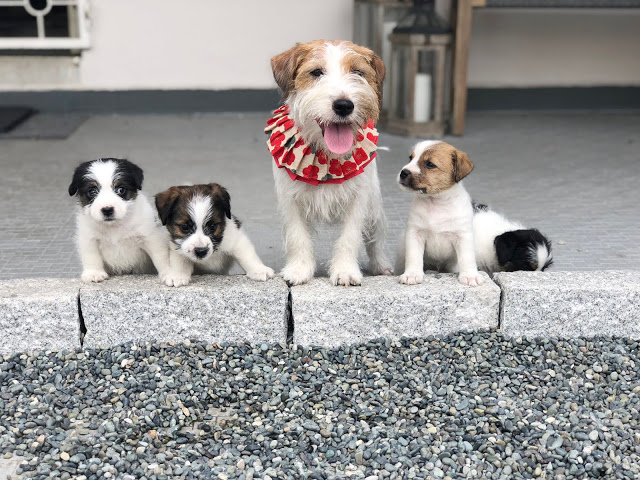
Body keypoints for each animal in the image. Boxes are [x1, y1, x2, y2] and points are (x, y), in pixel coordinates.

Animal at [268, 39, 392, 286]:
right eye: (316, 72)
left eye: (358, 72)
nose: (344, 105)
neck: (327, 154)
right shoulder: (290, 200)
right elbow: (298, 237)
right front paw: (299, 270)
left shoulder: (358, 201)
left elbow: (349, 238)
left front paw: (345, 271)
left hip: (375, 210)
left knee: (375, 239)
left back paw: (380, 265)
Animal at [396, 141, 553, 286]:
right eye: (410, 158)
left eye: (429, 164)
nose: (403, 172)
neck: (436, 202)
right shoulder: (415, 233)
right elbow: (414, 256)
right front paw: (412, 274)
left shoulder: (462, 238)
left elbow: (466, 258)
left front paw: (470, 276)